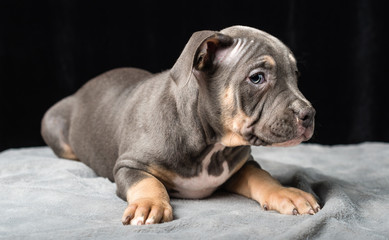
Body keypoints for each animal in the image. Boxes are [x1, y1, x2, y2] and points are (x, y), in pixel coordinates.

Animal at [41, 25, 318, 225]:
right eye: (257, 78)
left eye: (296, 76)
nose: (309, 114)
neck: (211, 145)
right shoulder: (129, 165)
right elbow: (146, 181)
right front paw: (149, 204)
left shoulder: (241, 165)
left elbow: (261, 176)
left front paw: (286, 192)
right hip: (52, 123)